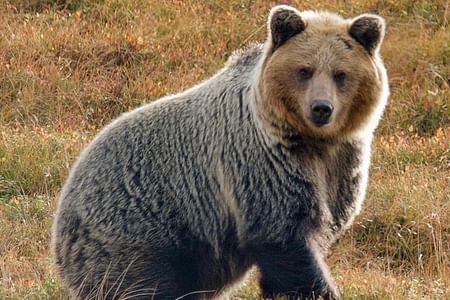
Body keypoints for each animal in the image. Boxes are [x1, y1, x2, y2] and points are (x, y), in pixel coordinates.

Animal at [51, 4, 386, 300]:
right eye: (304, 70)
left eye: (341, 74)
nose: (321, 108)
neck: (312, 142)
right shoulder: (261, 165)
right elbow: (285, 238)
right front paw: (317, 289)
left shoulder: (342, 165)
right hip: (137, 230)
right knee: (145, 283)